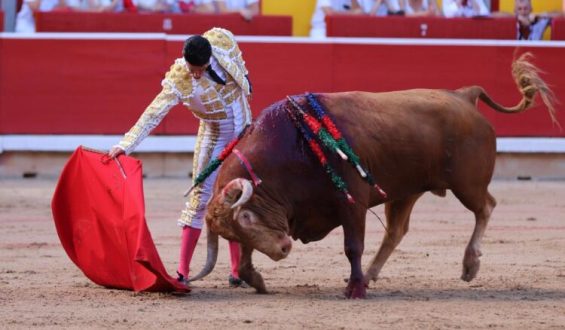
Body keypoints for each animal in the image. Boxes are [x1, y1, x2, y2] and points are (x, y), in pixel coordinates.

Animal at [188, 53, 556, 300]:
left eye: (246, 217)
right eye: (233, 230)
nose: (282, 249)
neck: (292, 147)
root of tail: (464, 95)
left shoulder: (352, 201)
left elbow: (353, 246)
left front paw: (353, 289)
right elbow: (245, 257)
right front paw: (258, 280)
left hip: (467, 183)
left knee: (486, 207)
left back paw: (469, 265)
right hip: (406, 191)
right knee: (397, 231)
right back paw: (372, 275)